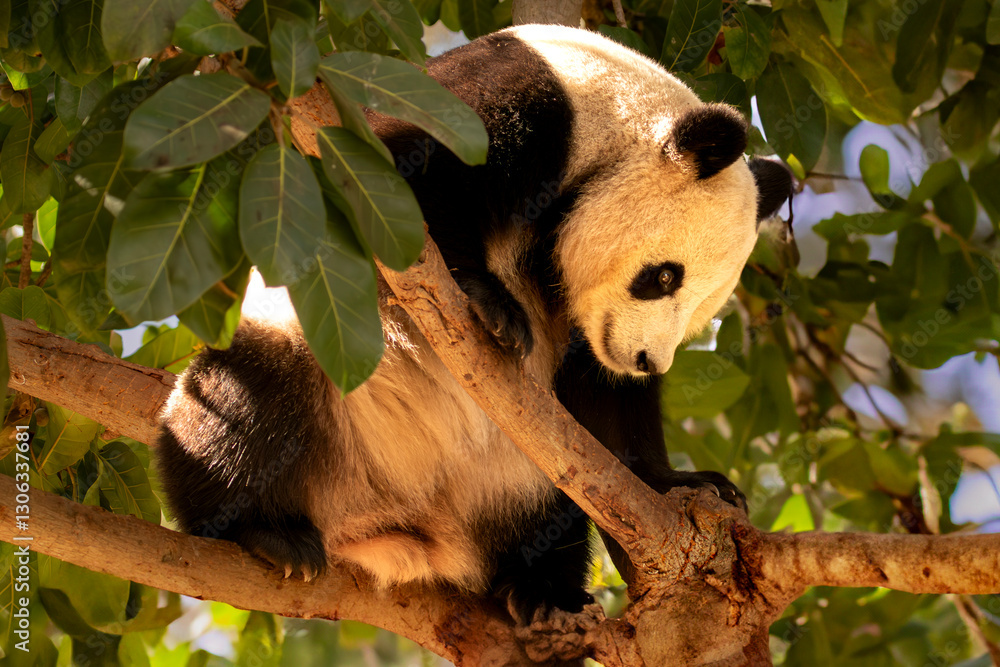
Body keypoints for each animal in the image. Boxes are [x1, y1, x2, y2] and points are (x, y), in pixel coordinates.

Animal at [156, 24, 792, 624]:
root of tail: (391, 532)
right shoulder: (516, 107)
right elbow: (403, 186)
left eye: (701, 313)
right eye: (663, 277)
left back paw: (542, 591)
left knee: (555, 506)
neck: (614, 117)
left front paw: (686, 481)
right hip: (315, 355)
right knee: (242, 403)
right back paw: (266, 532)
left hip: (517, 474)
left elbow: (602, 400)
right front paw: (493, 303)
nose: (645, 361)